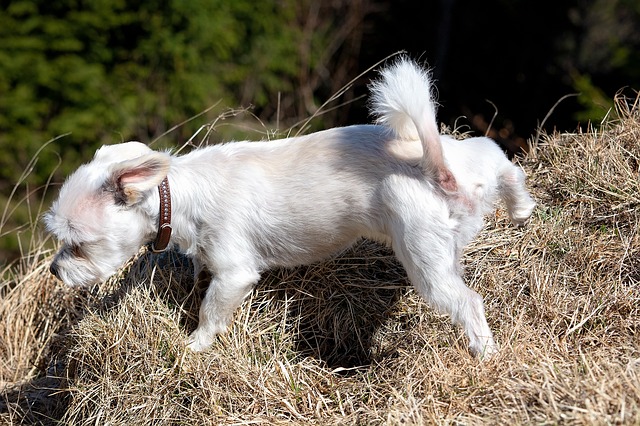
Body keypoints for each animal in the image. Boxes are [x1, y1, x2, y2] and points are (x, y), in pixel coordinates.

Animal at [45, 56, 536, 356]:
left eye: (77, 244)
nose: (53, 270)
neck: (177, 193)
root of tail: (436, 170)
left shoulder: (234, 272)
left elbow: (210, 311)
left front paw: (194, 346)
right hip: (476, 158)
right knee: (506, 165)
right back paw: (521, 209)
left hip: (424, 260)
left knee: (468, 302)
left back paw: (484, 352)